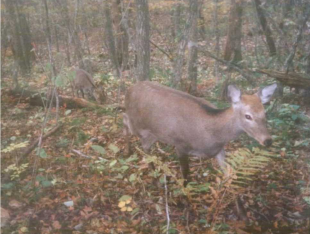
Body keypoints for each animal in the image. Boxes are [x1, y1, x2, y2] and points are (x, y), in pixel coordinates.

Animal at [122, 81, 278, 186]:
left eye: (264, 113)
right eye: (248, 116)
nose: (268, 140)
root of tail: (129, 89)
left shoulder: (219, 150)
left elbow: (228, 174)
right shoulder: (181, 145)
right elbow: (186, 175)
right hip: (138, 125)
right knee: (127, 123)